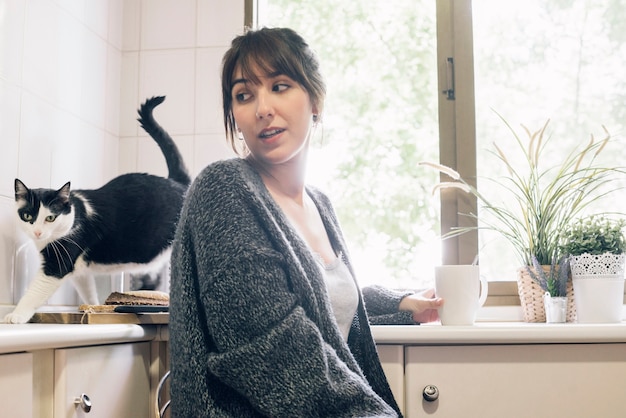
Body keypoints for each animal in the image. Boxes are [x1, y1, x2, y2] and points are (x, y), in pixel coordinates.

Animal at [2, 97, 189, 324]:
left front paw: (16, 315)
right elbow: (87, 288)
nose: (37, 232)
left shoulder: (59, 261)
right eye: (28, 216)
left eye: (51, 217)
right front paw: (93, 306)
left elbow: (36, 291)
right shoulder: (80, 270)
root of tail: (176, 182)